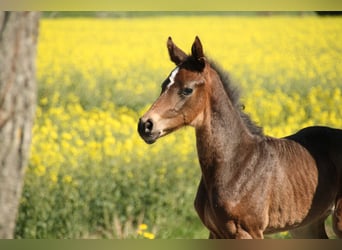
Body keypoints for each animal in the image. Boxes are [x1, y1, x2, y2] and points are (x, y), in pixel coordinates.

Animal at [138, 35, 342, 238]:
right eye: (163, 85)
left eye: (187, 89)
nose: (145, 125)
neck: (235, 162)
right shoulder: (215, 233)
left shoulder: (248, 232)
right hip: (305, 225)